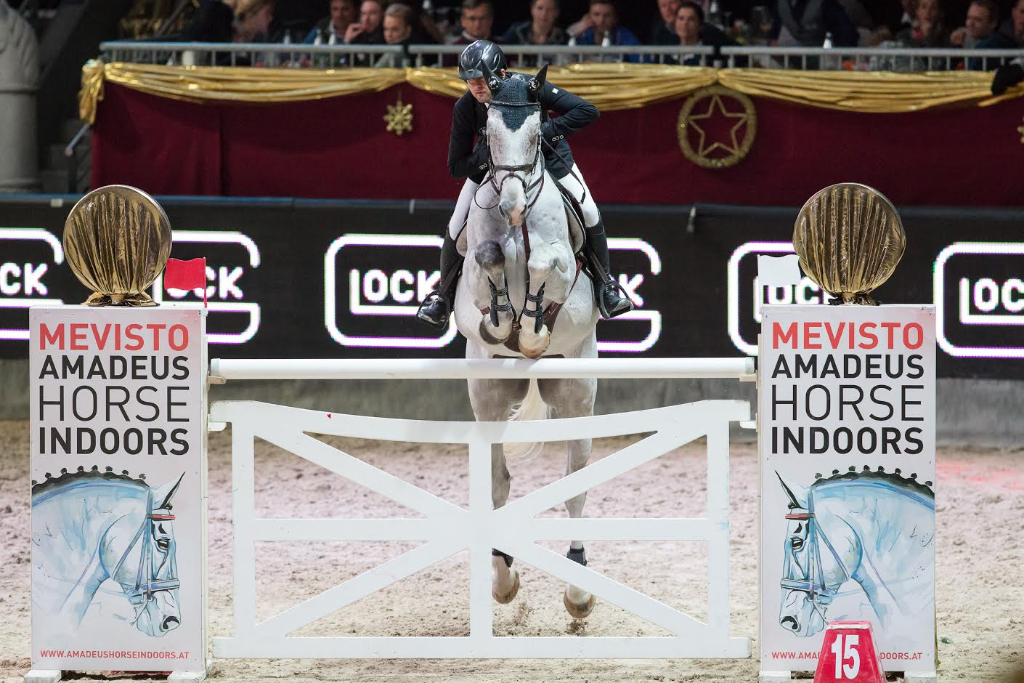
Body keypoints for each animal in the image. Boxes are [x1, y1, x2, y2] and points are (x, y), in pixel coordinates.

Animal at [454, 68, 602, 618]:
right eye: (489, 134)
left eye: (539, 135)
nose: (514, 205)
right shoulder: (475, 275)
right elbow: (488, 258)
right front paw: (504, 322)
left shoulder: (558, 266)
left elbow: (544, 264)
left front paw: (533, 327)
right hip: (489, 395)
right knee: (498, 482)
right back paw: (502, 575)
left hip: (577, 390)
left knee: (575, 479)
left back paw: (578, 588)